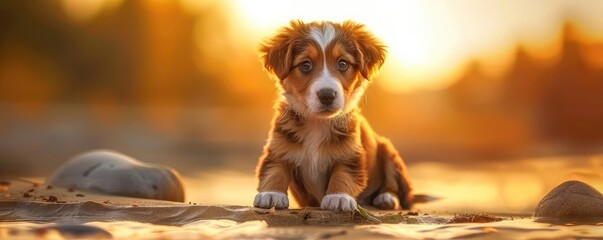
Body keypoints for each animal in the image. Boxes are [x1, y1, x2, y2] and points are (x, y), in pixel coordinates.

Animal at [252, 21, 412, 212]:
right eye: (305, 65)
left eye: (343, 64)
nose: (327, 95)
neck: (318, 123)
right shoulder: (278, 147)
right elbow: (273, 170)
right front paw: (271, 194)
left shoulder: (350, 155)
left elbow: (343, 174)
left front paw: (339, 197)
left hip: (389, 152)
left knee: (396, 188)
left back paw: (386, 198)